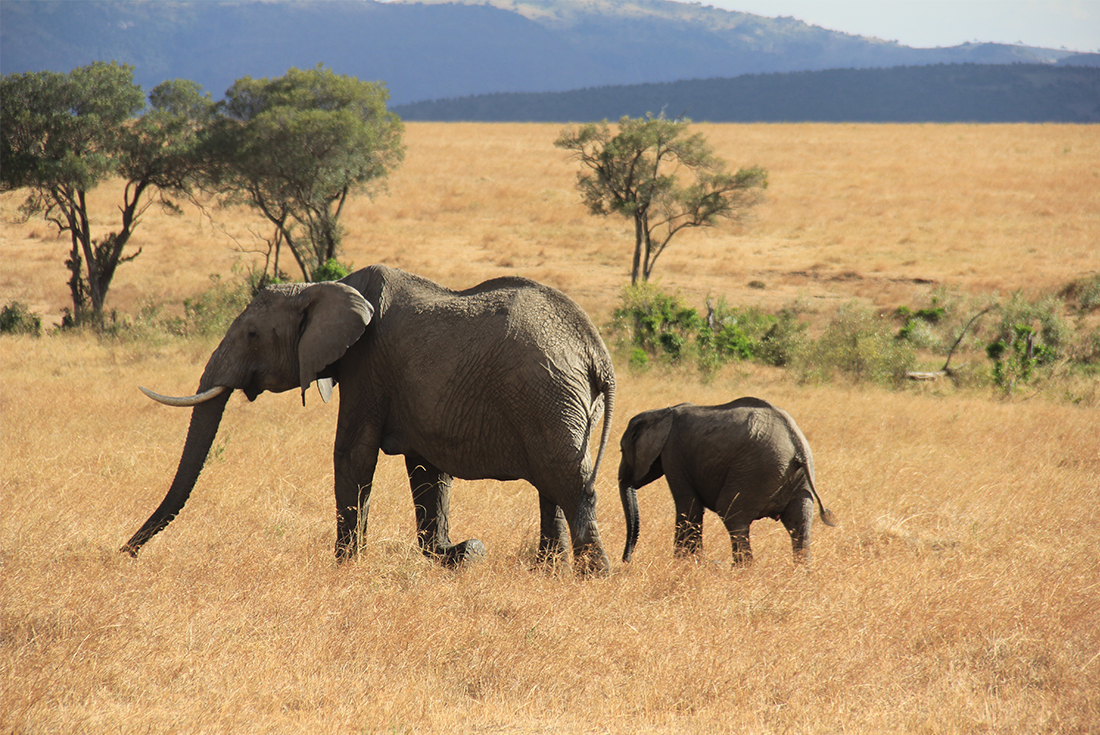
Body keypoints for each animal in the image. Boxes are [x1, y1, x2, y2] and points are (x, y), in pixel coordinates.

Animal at [122, 264, 616, 575]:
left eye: (252, 334)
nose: (123, 552)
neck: (322, 286)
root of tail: (597, 353)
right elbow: (427, 471)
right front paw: (463, 554)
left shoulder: (366, 364)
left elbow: (353, 454)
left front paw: (345, 569)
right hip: (558, 402)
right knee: (552, 487)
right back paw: (548, 570)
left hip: (548, 396)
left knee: (569, 482)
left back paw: (593, 577)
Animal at [618, 397, 837, 566]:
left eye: (621, 450)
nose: (626, 559)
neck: (663, 412)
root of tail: (797, 444)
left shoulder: (672, 452)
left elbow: (689, 507)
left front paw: (683, 565)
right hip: (798, 481)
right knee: (799, 524)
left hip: (754, 473)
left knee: (731, 514)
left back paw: (740, 570)